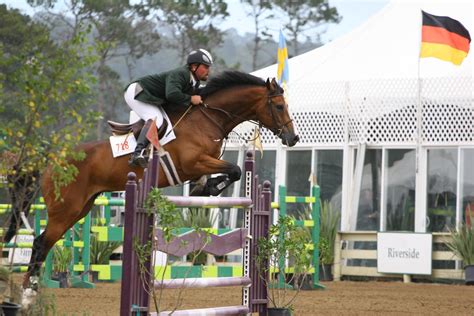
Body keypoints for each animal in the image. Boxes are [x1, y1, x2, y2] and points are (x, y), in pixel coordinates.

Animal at [21, 71, 300, 288]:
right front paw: (209, 188)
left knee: (44, 243)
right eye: (279, 106)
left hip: (81, 208)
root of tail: (51, 163)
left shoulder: (201, 164)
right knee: (41, 243)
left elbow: (230, 172)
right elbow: (235, 170)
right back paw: (29, 290)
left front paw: (205, 188)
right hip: (65, 210)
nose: (293, 138)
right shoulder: (193, 162)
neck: (208, 119)